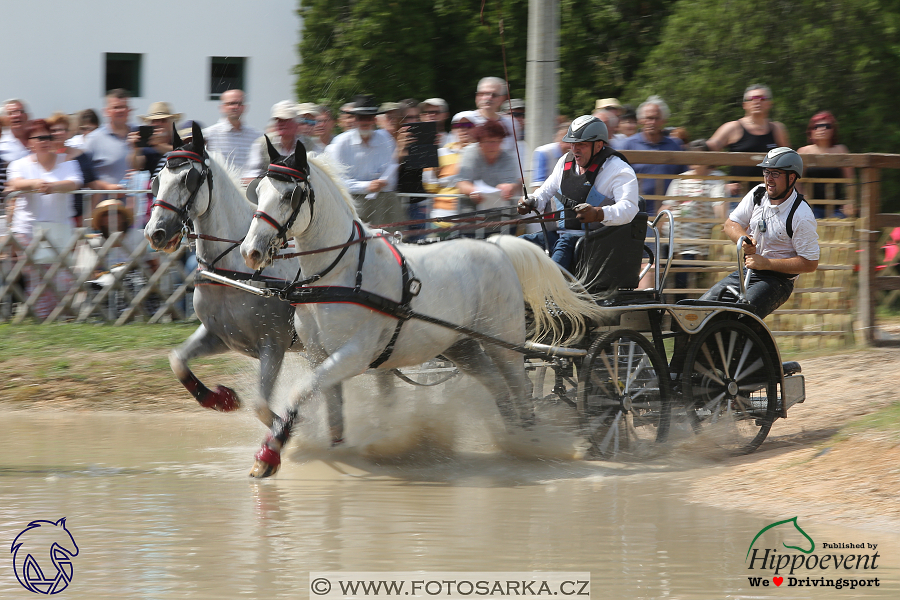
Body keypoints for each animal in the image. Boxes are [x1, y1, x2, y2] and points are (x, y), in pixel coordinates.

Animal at [146, 124, 300, 426]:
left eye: (189, 179)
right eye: (158, 179)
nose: (155, 232)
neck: (234, 273)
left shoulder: (274, 346)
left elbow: (262, 406)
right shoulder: (219, 335)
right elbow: (177, 361)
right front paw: (222, 399)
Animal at [239, 141, 608, 478]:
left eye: (290, 196)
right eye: (258, 190)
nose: (250, 251)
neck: (340, 272)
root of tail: (498, 246)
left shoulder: (353, 355)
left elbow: (300, 392)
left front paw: (269, 454)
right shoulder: (319, 355)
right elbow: (330, 408)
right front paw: (338, 449)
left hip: (502, 342)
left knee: (520, 387)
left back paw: (531, 443)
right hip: (463, 347)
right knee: (499, 388)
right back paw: (511, 438)